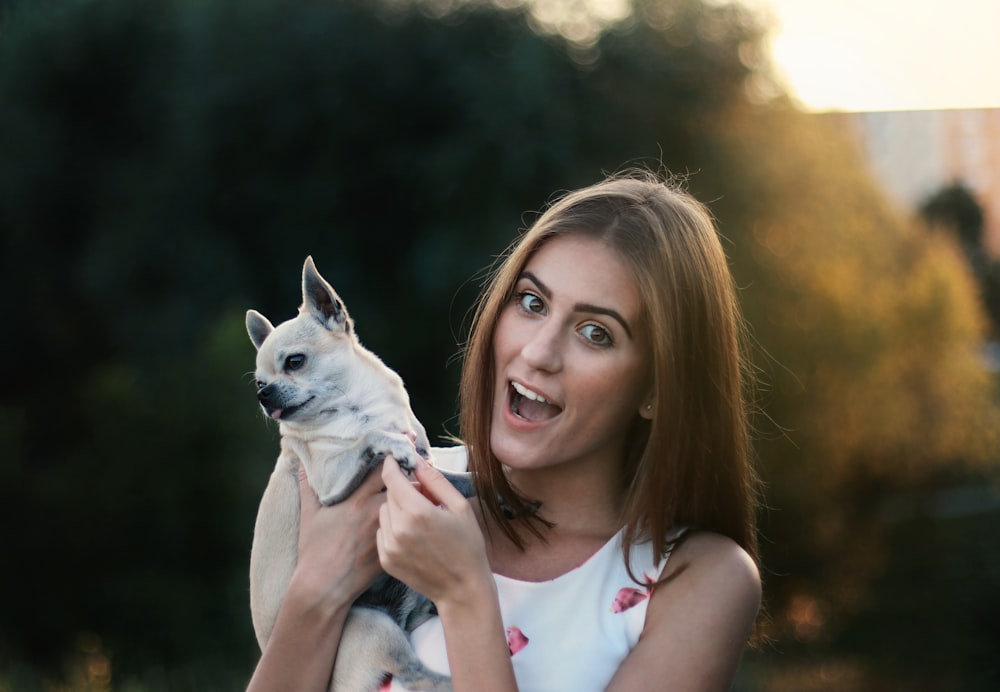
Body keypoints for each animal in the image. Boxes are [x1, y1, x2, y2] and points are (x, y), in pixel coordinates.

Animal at [245, 256, 472, 688]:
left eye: (294, 362)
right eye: (260, 383)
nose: (263, 395)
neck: (357, 406)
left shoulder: (424, 466)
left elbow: (447, 476)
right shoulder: (330, 481)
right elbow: (369, 437)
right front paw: (392, 443)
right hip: (371, 626)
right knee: (416, 674)